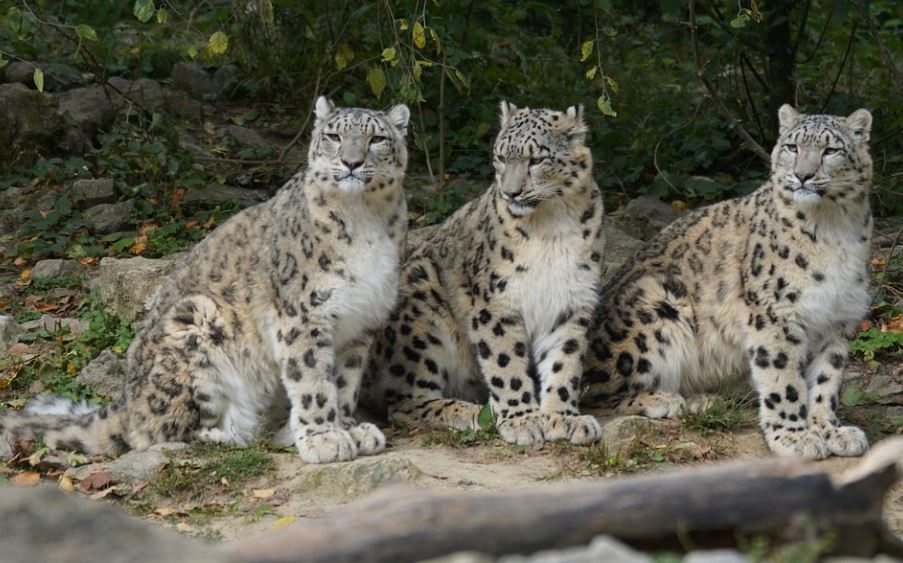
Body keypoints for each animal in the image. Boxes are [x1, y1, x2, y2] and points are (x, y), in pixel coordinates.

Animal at [1, 97, 411, 464]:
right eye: (334, 136)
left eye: (377, 138)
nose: (352, 162)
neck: (365, 218)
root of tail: (127, 403)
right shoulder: (304, 314)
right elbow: (313, 381)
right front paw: (325, 438)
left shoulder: (361, 321)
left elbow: (343, 383)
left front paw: (351, 428)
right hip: (196, 323)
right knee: (158, 434)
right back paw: (226, 436)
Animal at [362, 101, 605, 446]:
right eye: (501, 156)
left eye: (537, 159)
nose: (511, 192)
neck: (550, 225)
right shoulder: (498, 299)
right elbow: (506, 361)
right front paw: (522, 420)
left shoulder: (573, 298)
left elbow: (565, 360)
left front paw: (564, 417)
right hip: (421, 309)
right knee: (404, 401)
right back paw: (473, 413)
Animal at [581, 105, 874, 459]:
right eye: (792, 147)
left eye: (831, 150)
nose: (802, 175)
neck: (833, 227)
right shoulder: (775, 313)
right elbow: (783, 379)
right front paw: (794, 437)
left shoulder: (838, 317)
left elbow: (826, 380)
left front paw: (831, 430)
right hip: (655, 301)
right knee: (593, 391)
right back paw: (664, 399)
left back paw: (700, 400)